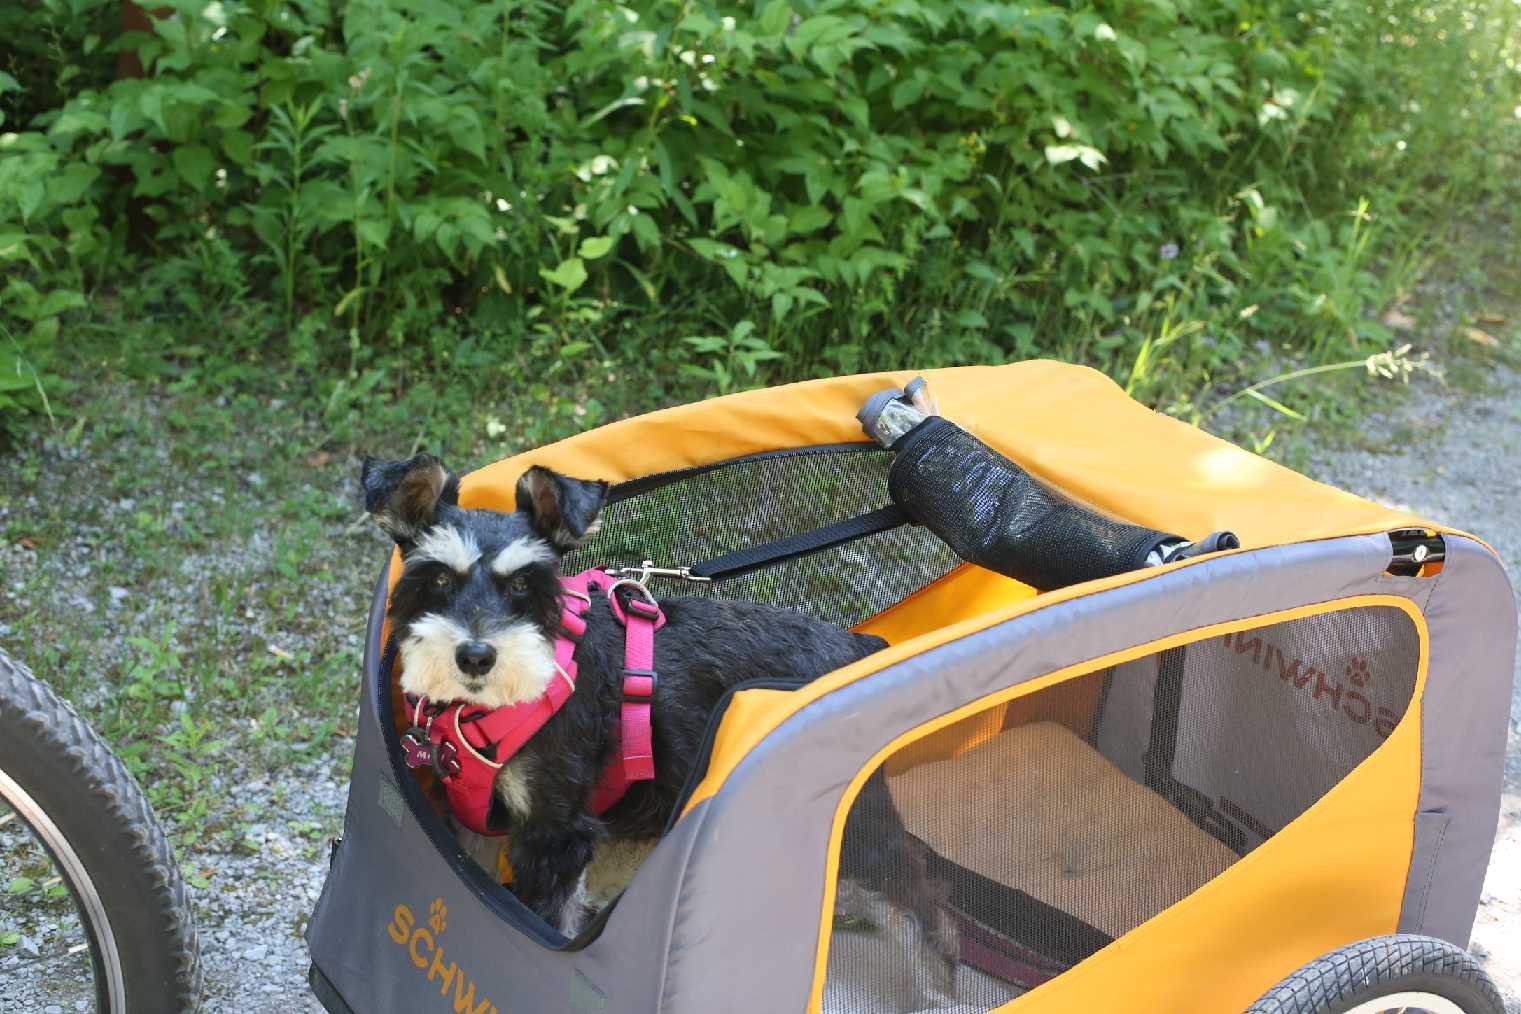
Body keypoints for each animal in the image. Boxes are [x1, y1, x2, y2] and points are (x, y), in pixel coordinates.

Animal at [363, 456, 955, 997]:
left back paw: (938, 981)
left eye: (525, 584)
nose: (476, 656)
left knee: (912, 889)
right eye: (439, 576)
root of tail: (859, 644)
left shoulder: (557, 832)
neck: (483, 712)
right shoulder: (475, 827)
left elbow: (546, 922)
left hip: (861, 834)